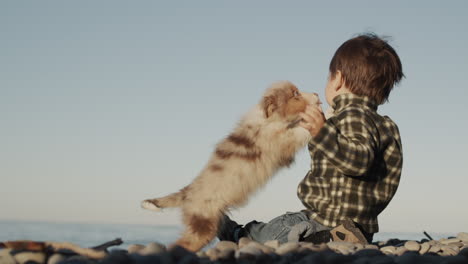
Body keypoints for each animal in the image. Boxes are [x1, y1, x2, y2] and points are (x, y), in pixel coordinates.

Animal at [141, 81, 320, 252]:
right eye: (295, 94)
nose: (317, 94)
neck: (267, 120)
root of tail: (187, 192)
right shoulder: (279, 138)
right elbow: (300, 131)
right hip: (203, 224)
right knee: (181, 244)